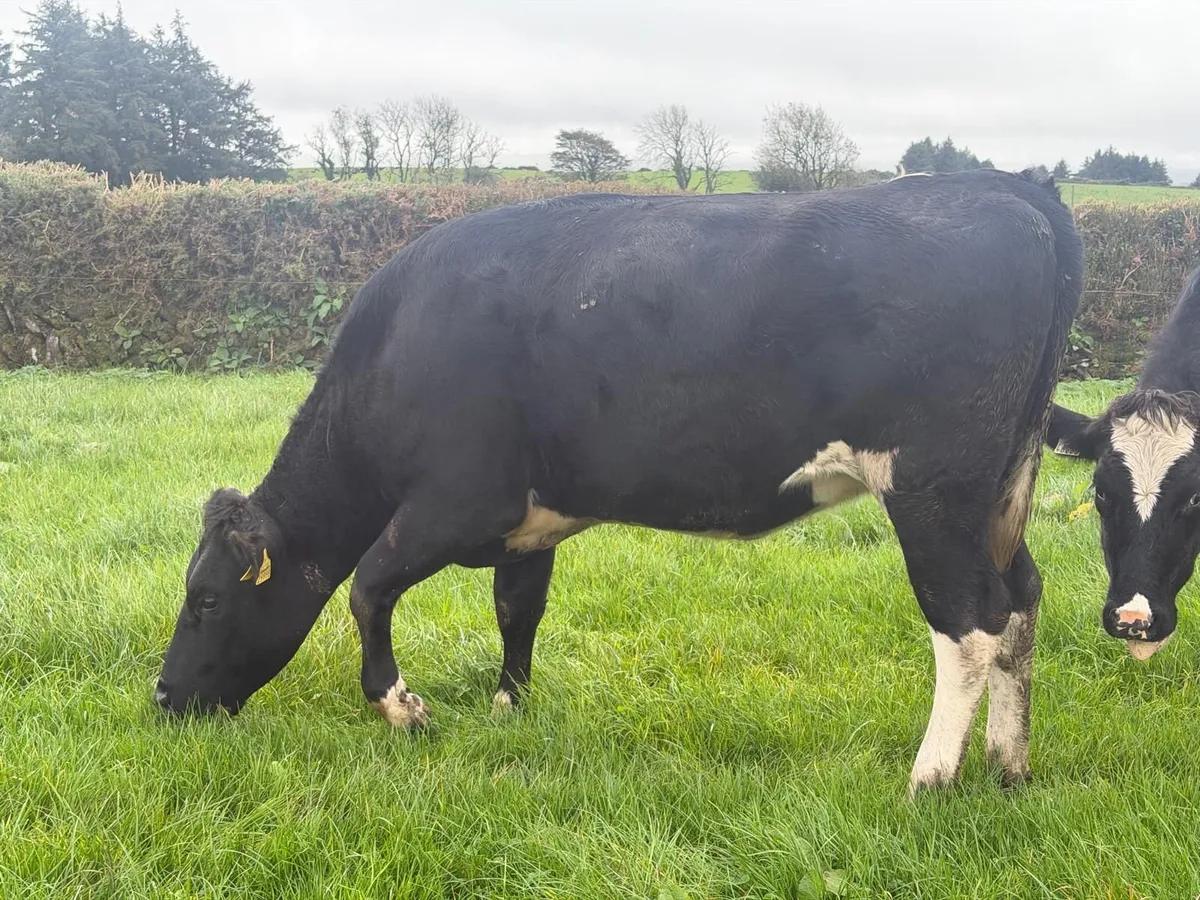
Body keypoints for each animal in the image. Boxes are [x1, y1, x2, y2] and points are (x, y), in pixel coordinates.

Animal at [154, 168, 1083, 795]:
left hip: (933, 492)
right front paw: (508, 710)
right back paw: (1009, 764)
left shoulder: (454, 502)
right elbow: (517, 611)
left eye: (206, 599)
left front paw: (402, 707)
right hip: (999, 492)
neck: (396, 350)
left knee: (968, 625)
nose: (163, 696)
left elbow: (368, 588)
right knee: (1021, 601)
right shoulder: (527, 522)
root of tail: (1004, 189)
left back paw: (930, 778)